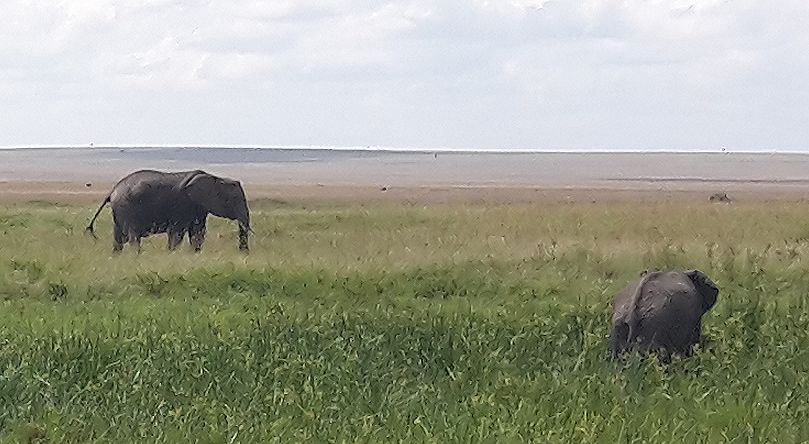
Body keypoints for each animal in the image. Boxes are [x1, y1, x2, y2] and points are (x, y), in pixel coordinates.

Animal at [85, 169, 249, 253]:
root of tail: (112, 191)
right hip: (127, 209)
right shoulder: (183, 204)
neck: (215, 178)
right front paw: (172, 254)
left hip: (120, 212)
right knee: (133, 237)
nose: (243, 252)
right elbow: (177, 232)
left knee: (118, 238)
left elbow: (198, 232)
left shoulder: (199, 206)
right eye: (234, 199)